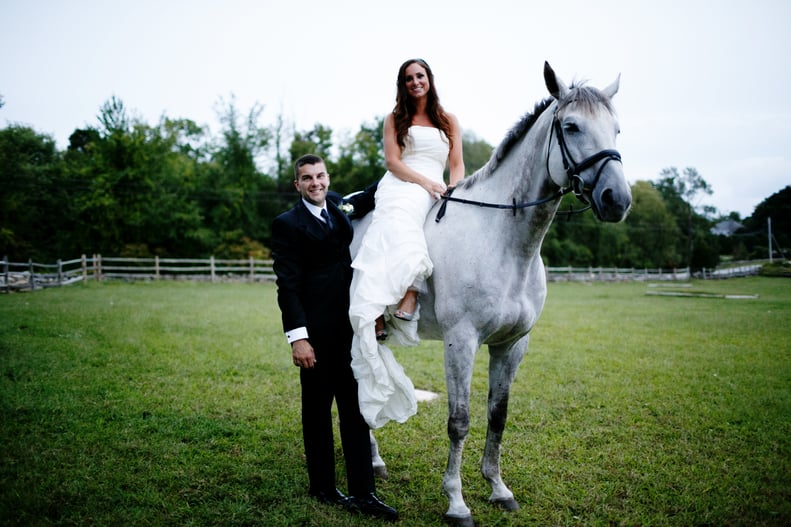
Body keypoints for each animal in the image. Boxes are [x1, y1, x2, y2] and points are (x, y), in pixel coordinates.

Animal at [358, 63, 632, 527]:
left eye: (616, 129)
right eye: (571, 127)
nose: (618, 200)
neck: (504, 241)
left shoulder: (512, 344)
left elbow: (497, 416)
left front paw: (498, 489)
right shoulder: (461, 341)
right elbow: (459, 420)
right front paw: (456, 503)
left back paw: (375, 461)